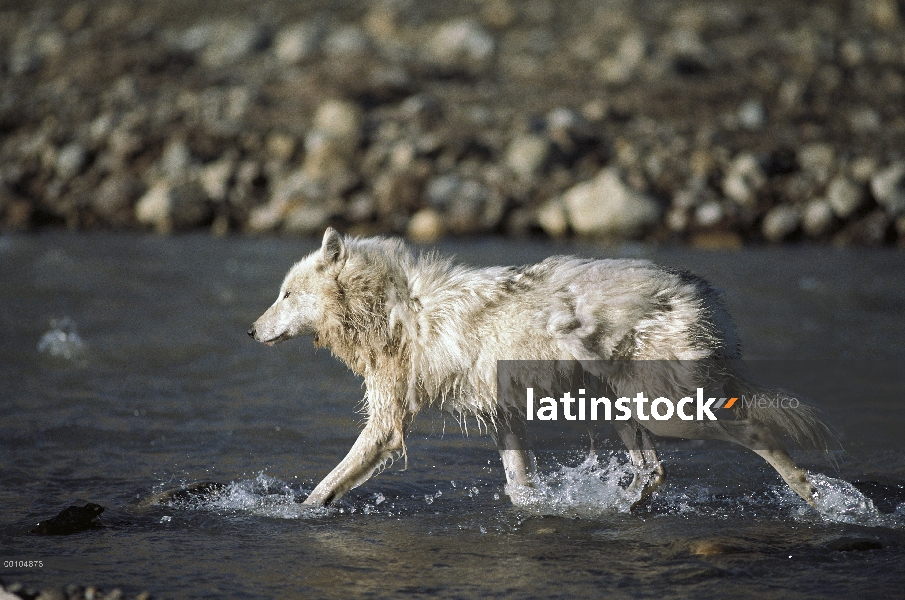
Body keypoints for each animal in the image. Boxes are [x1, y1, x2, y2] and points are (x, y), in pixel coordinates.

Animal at [245, 227, 828, 508]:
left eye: (286, 294)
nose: (249, 332)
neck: (392, 307)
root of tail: (699, 288)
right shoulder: (501, 411)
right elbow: (519, 486)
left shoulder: (388, 424)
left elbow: (326, 485)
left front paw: (293, 514)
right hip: (624, 407)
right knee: (654, 472)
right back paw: (620, 507)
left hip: (670, 409)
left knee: (760, 435)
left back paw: (818, 498)